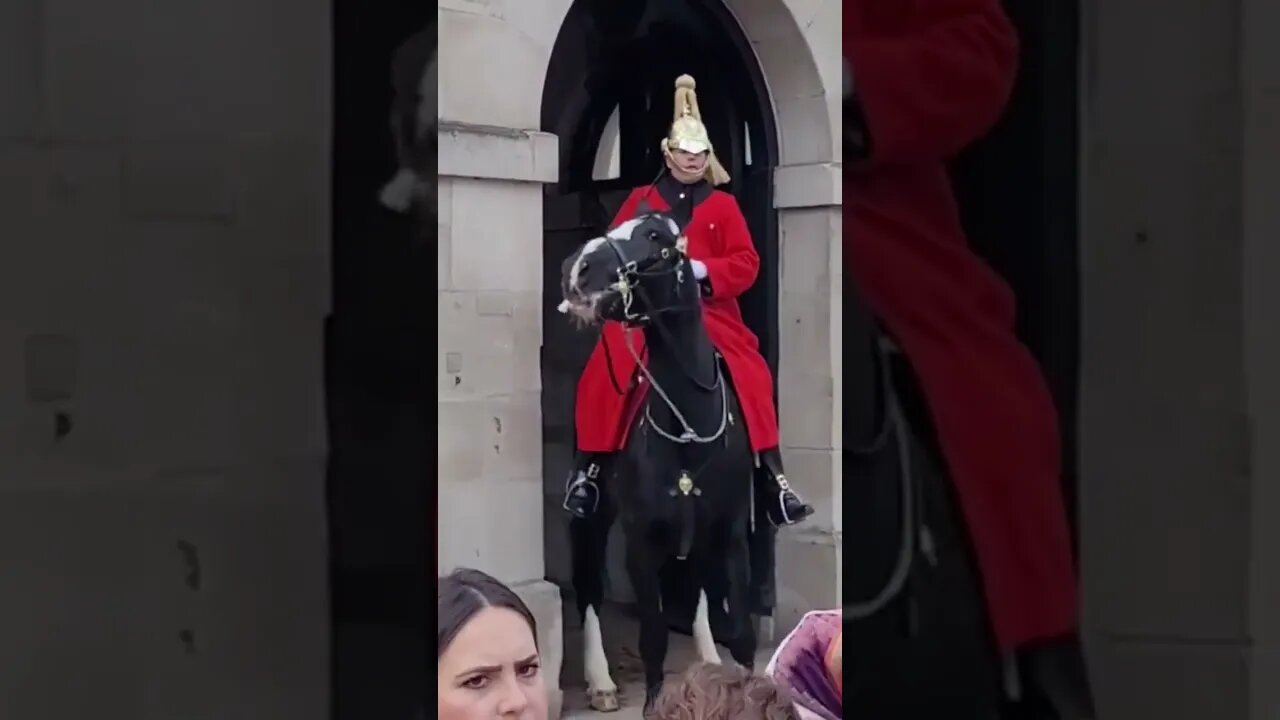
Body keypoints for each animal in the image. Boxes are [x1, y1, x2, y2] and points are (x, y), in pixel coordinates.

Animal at [558, 210, 752, 707]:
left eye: (653, 235)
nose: (575, 268)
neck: (690, 428)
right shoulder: (641, 543)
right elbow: (653, 638)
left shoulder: (731, 534)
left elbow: (741, 633)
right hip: (594, 516)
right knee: (589, 586)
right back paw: (601, 681)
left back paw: (708, 659)